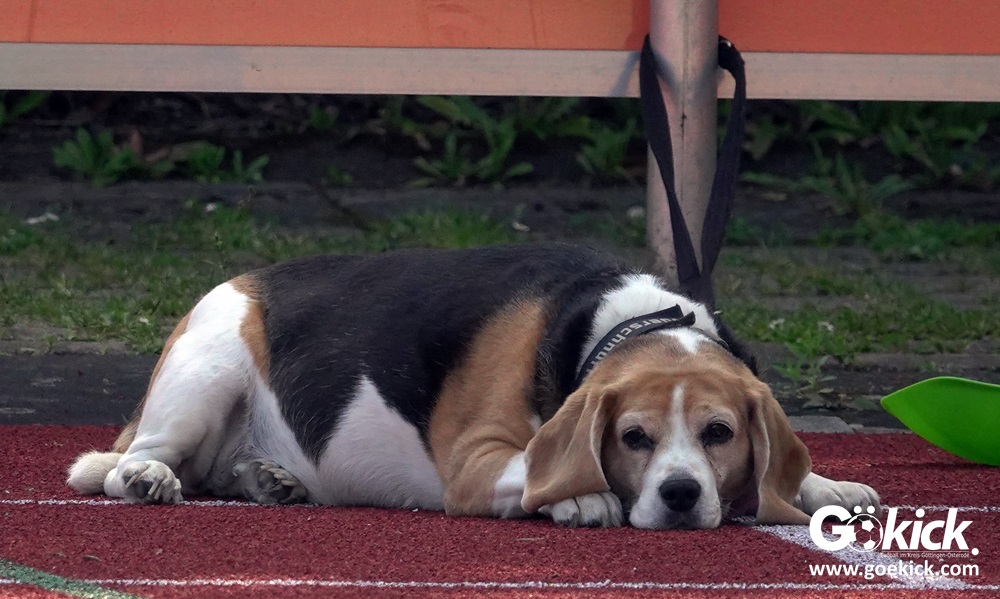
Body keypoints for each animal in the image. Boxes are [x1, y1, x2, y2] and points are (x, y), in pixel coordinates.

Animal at [67, 243, 879, 529]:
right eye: (633, 438)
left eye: (719, 434)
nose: (681, 495)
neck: (624, 323)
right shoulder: (476, 461)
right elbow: (538, 467)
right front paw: (583, 495)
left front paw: (827, 486)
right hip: (204, 372)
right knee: (140, 461)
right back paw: (146, 477)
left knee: (215, 472)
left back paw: (268, 480)